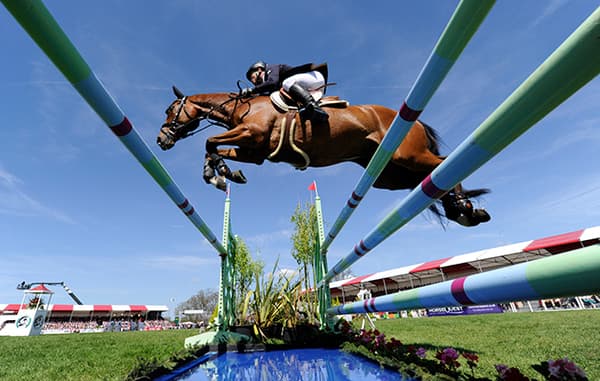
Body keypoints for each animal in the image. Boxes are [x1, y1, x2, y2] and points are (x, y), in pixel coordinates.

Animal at [157, 86, 490, 226]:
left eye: (170, 110)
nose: (161, 140)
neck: (244, 107)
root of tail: (416, 122)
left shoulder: (251, 136)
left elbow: (209, 141)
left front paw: (217, 174)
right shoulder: (254, 152)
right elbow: (213, 147)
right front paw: (223, 174)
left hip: (409, 154)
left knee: (442, 165)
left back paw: (465, 208)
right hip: (390, 174)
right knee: (428, 179)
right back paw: (461, 210)